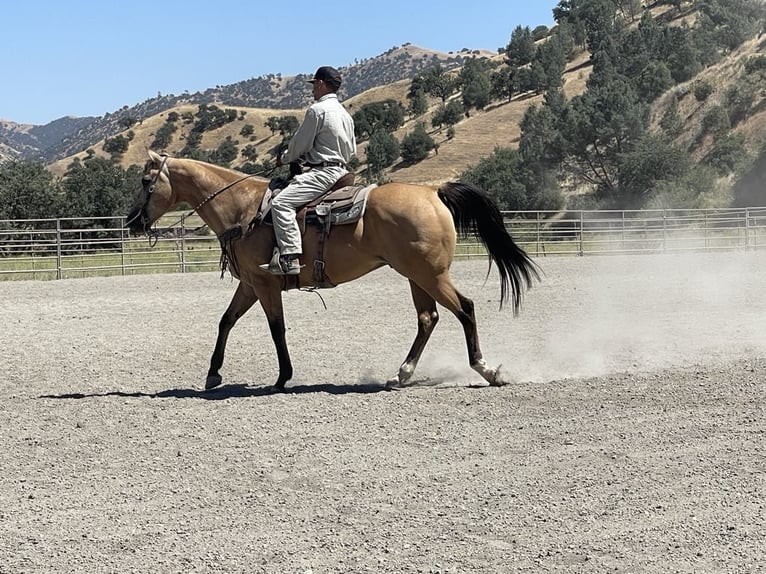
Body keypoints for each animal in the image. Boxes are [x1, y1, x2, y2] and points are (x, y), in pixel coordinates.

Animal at [126, 150, 540, 391]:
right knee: (428, 318)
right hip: (416, 276)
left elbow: (276, 329)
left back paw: (488, 371)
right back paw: (401, 374)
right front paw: (213, 373)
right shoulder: (250, 284)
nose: (132, 222)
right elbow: (226, 321)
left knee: (464, 309)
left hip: (432, 275)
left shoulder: (265, 284)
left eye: (146, 181)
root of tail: (433, 192)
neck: (243, 207)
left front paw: (283, 377)